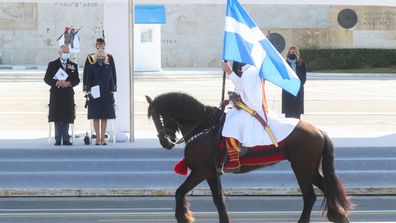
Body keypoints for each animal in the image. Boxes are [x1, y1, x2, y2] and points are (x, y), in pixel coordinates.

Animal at [146, 91, 352, 222]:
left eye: (157, 117)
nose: (165, 142)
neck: (204, 127)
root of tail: (318, 130)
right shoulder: (211, 173)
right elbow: (219, 201)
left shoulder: (201, 171)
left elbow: (180, 192)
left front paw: (183, 216)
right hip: (309, 169)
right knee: (327, 188)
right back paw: (339, 216)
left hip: (301, 167)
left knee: (309, 196)